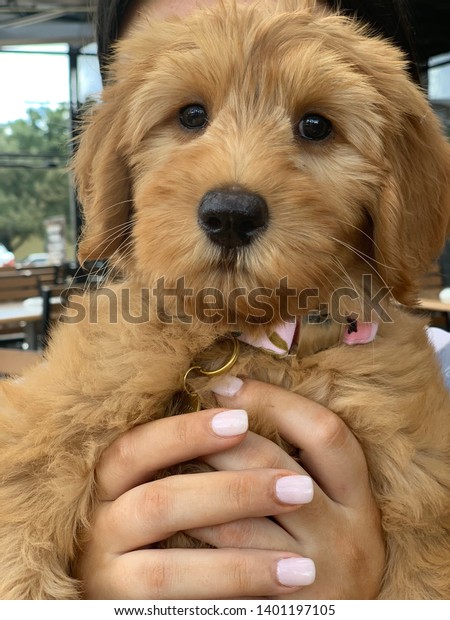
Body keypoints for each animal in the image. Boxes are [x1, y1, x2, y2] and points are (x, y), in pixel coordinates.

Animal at [0, 0, 450, 600]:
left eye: (315, 126)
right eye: (191, 115)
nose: (231, 215)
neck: (248, 335)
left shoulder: (417, 467)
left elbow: (420, 574)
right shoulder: (67, 404)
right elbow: (26, 498)